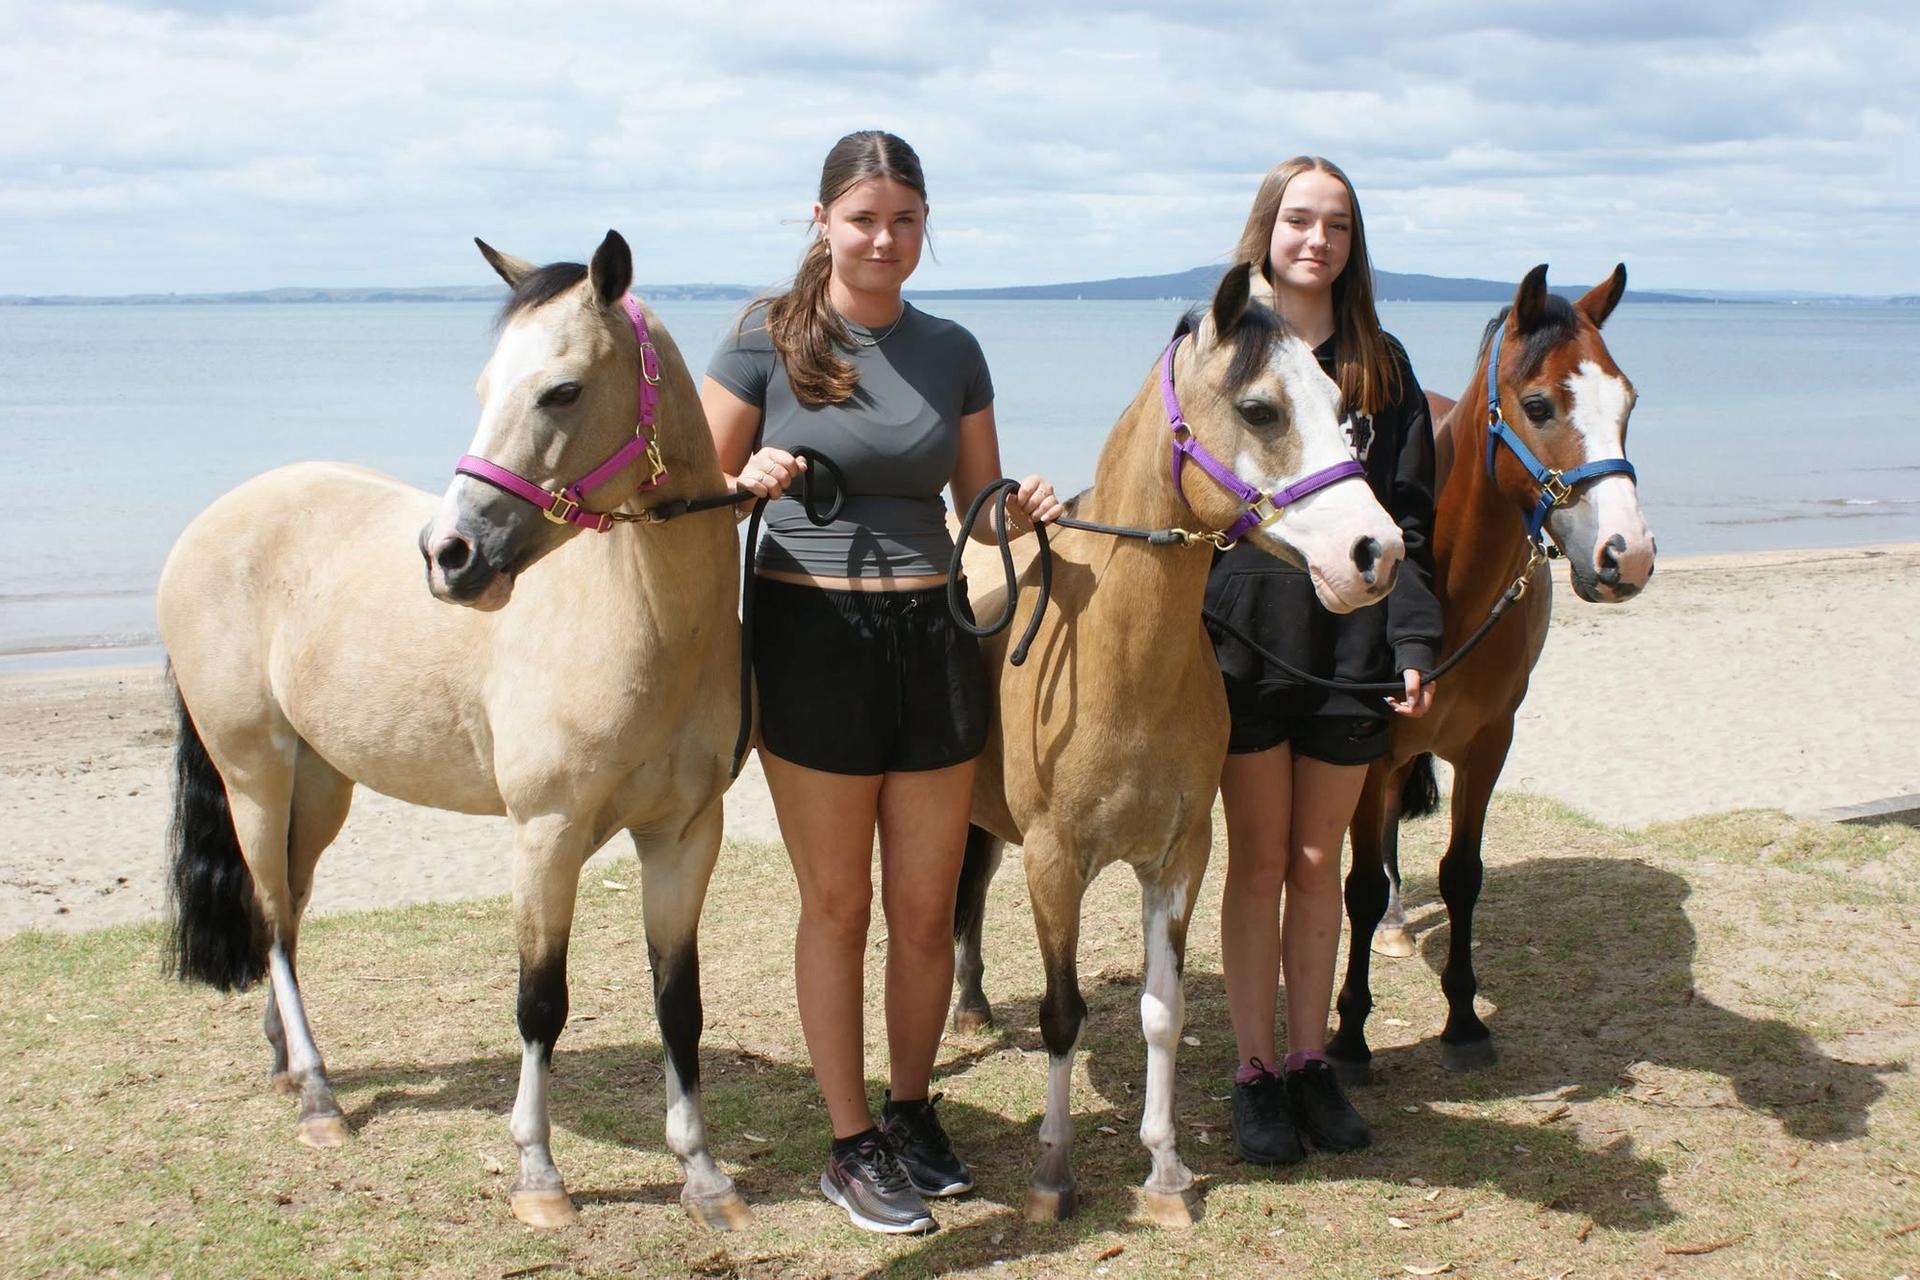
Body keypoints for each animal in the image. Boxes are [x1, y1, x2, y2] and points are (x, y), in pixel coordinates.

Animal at [157, 231, 751, 1231]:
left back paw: (285, 1061)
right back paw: (317, 1097)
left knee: (292, 911)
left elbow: (680, 1003)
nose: (450, 556)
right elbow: (540, 1002)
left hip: (319, 787)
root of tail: (209, 523)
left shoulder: (682, 836)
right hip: (254, 776)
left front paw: (704, 1175)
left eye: (561, 390)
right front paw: (538, 1175)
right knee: (273, 919)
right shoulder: (546, 836)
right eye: (484, 388)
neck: (647, 622)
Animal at [950, 265, 1404, 1226]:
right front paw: (1053, 1174)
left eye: (1344, 410)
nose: (1376, 552)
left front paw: (1164, 1172)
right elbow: (1063, 1014)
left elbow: (1163, 1012)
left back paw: (969, 1006)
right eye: (1262, 409)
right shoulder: (1054, 863)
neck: (1118, 661)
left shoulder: (1178, 858)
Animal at [1327, 264, 1655, 1082]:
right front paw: (1349, 1035)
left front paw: (1465, 1020)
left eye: (1628, 400)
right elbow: (1358, 883)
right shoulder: (1370, 745)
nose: (1627, 555)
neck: (1449, 585)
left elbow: (1462, 874)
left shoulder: (1488, 745)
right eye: (1539, 405)